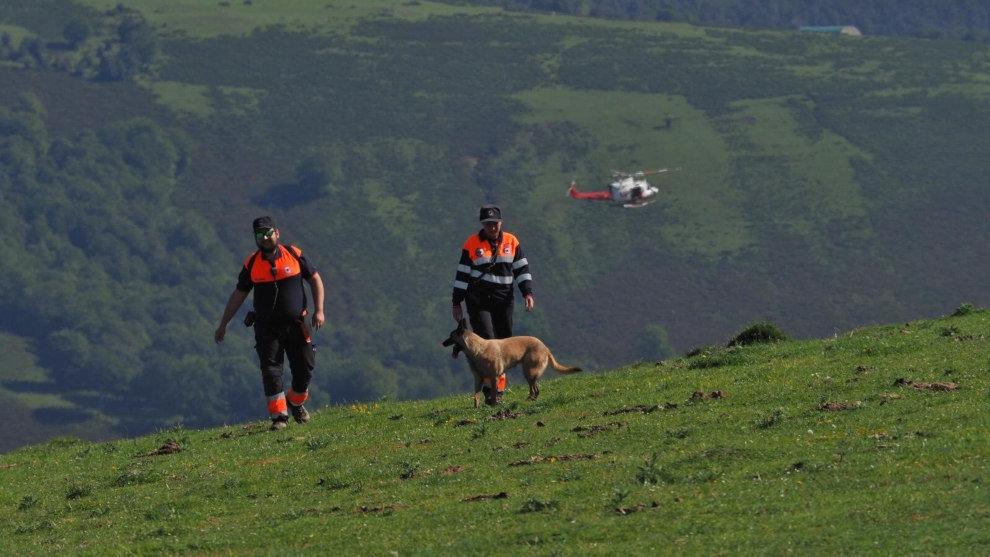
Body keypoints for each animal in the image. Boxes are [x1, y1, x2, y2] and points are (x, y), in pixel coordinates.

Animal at [442, 320, 580, 406]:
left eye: (451, 336)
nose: (442, 343)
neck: (476, 349)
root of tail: (545, 347)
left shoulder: (494, 377)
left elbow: (493, 394)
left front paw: (493, 407)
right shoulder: (478, 379)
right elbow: (476, 397)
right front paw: (477, 409)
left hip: (528, 372)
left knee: (534, 390)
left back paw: (527, 401)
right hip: (529, 373)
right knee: (535, 390)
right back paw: (530, 400)